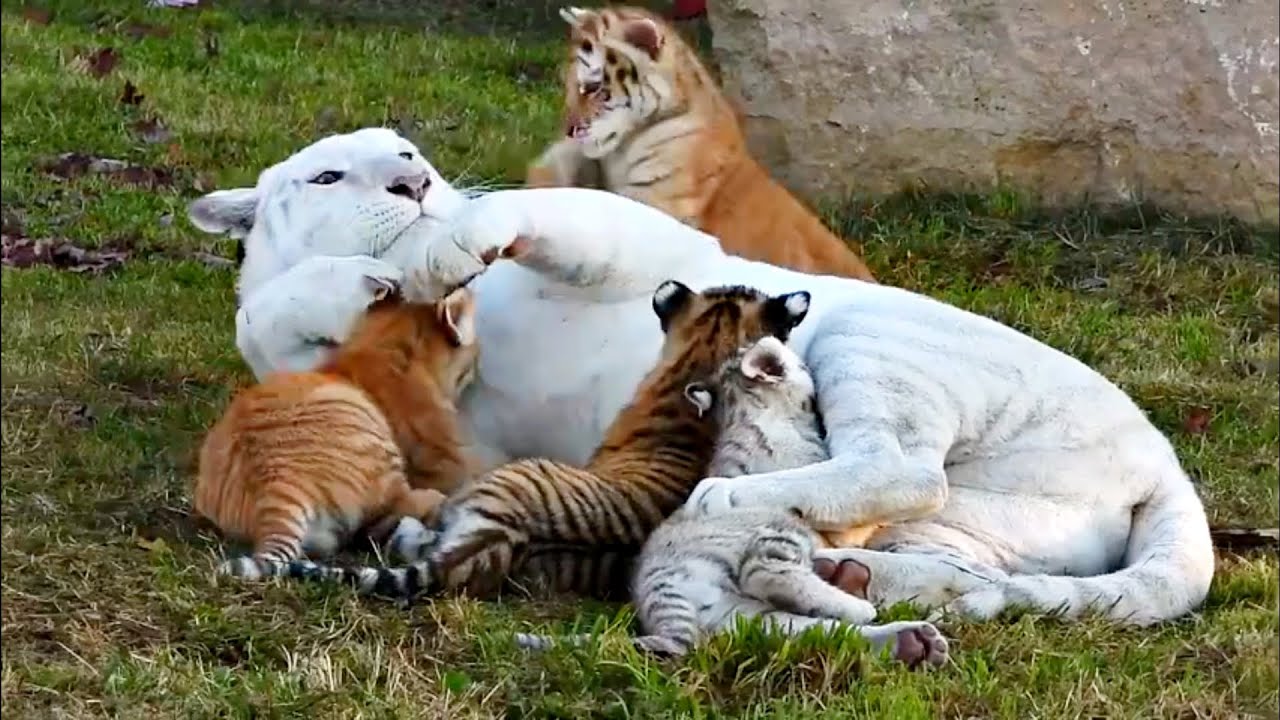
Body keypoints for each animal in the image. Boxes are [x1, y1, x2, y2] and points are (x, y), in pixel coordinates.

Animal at [192, 126, 1218, 625]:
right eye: (327, 176)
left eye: (408, 153)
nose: (412, 183)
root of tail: (1163, 461)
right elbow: (267, 309)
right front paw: (356, 278)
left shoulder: (629, 239)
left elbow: (522, 210)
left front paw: (432, 248)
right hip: (976, 525)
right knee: (940, 551)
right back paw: (833, 560)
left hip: (874, 341)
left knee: (902, 465)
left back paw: (730, 499)